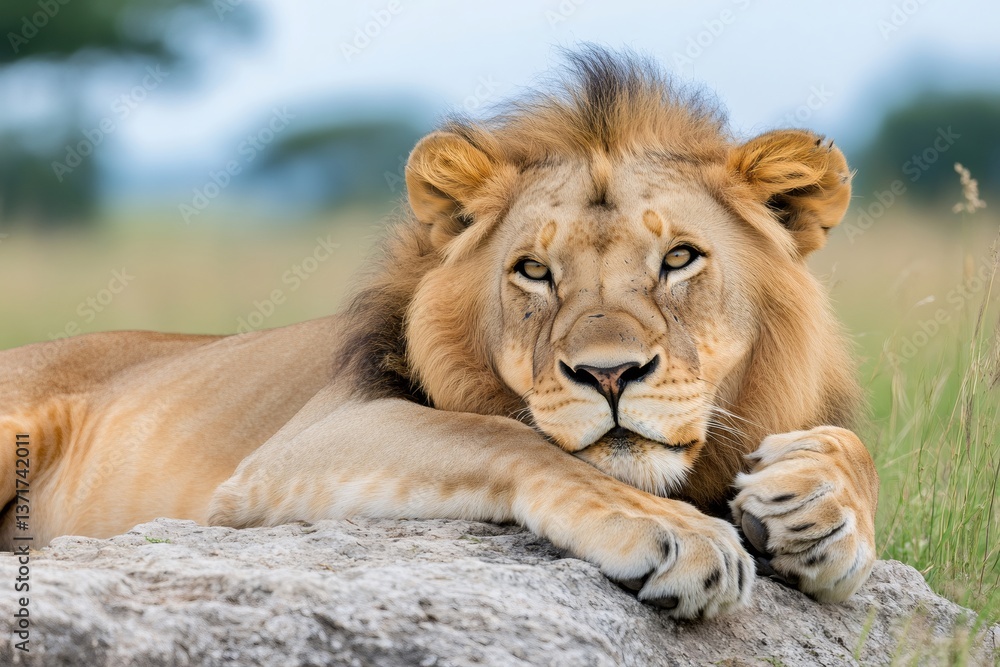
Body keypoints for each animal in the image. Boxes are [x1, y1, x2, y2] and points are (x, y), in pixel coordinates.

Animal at [0, 48, 878, 619]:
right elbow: (502, 434)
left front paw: (818, 507)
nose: (610, 374)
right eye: (534, 271)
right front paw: (678, 533)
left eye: (680, 258)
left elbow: (853, 452)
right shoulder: (303, 441)